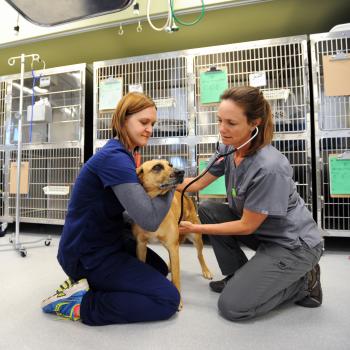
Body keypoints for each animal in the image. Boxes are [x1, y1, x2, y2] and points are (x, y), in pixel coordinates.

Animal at [132, 159, 212, 308]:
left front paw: (178, 300)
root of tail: (186, 196)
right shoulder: (141, 245)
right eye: (157, 167)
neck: (153, 210)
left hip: (196, 236)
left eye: (170, 165)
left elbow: (176, 278)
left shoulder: (172, 246)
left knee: (199, 255)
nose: (181, 172)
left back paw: (206, 271)